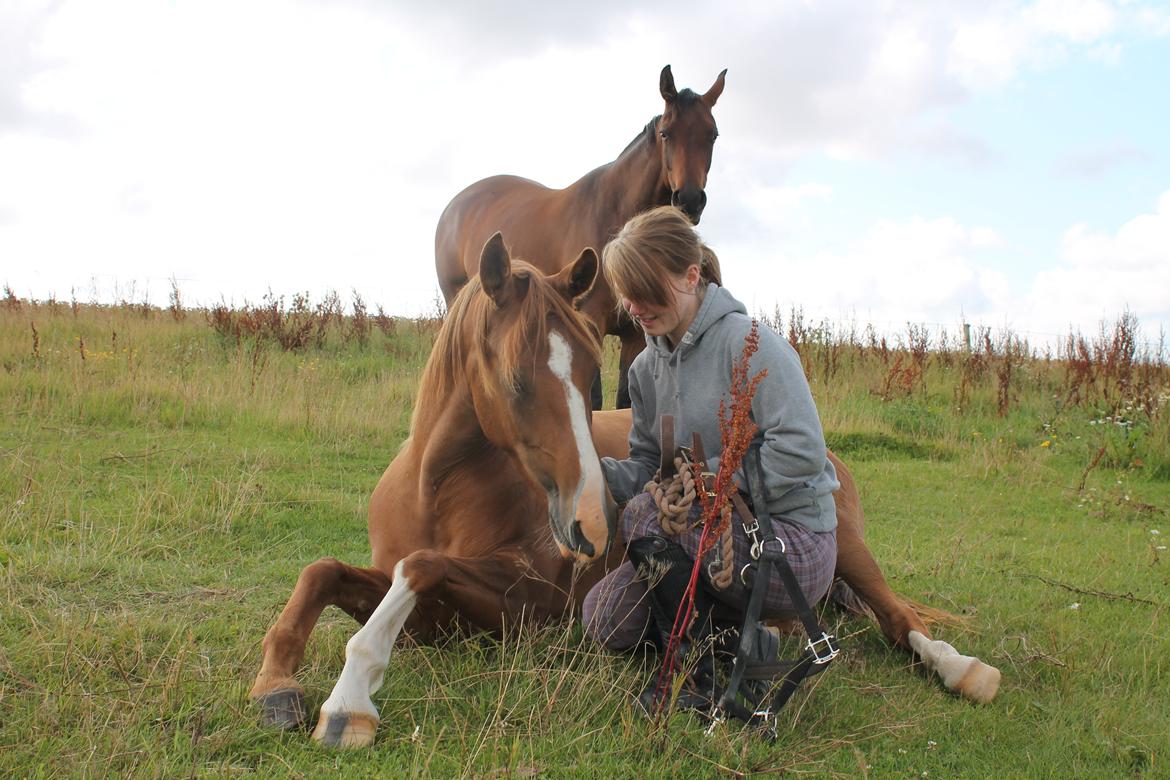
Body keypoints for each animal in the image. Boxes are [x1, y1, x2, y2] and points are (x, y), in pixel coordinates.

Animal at [246, 238, 996, 748]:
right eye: (517, 380)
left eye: (591, 372)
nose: (591, 526)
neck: (437, 489)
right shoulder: (427, 608)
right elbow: (324, 571)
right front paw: (278, 685)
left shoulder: (527, 606)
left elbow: (420, 566)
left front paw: (349, 699)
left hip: (847, 556)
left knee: (899, 618)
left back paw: (963, 669)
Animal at [432, 62, 720, 409]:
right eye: (666, 133)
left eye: (712, 135)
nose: (689, 199)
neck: (613, 213)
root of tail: (456, 206)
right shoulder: (589, 320)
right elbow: (592, 398)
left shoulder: (636, 333)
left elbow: (625, 399)